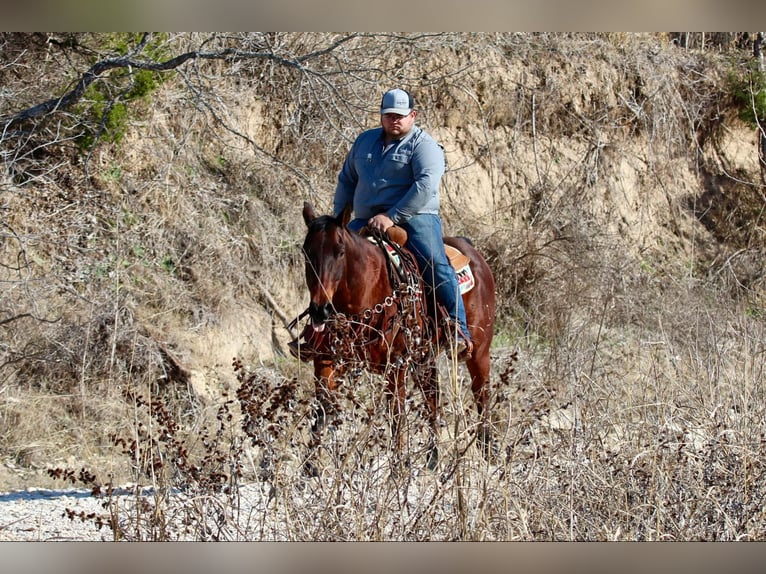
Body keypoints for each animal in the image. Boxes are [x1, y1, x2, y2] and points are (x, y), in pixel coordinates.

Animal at [293, 201, 496, 470]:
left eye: (340, 252)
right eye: (307, 253)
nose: (320, 310)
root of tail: (473, 254)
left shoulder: (396, 365)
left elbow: (396, 416)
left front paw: (398, 469)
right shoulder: (327, 360)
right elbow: (322, 411)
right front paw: (309, 469)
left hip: (479, 353)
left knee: (482, 398)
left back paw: (488, 452)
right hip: (424, 360)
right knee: (433, 400)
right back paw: (432, 459)